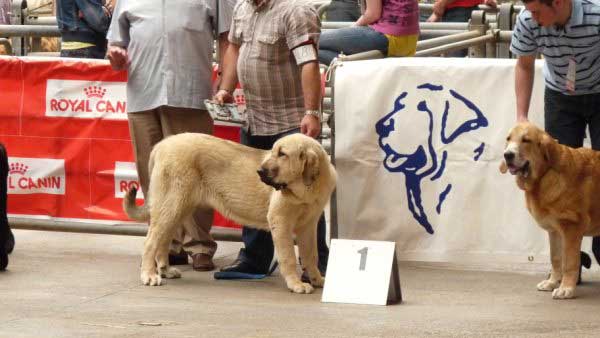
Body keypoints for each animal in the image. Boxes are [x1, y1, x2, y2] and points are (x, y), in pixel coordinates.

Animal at [122, 132, 338, 294]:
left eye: (282, 154)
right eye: (274, 151)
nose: (259, 172)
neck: (308, 188)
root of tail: (162, 144)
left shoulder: (309, 225)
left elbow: (311, 255)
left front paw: (317, 279)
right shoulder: (281, 222)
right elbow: (289, 257)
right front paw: (296, 284)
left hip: (179, 209)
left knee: (163, 240)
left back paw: (165, 270)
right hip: (172, 205)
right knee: (150, 242)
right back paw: (149, 275)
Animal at [500, 123, 600, 300]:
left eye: (526, 140)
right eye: (508, 139)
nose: (507, 155)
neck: (545, 174)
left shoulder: (571, 226)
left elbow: (570, 262)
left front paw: (566, 288)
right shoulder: (554, 230)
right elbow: (556, 258)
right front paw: (552, 282)